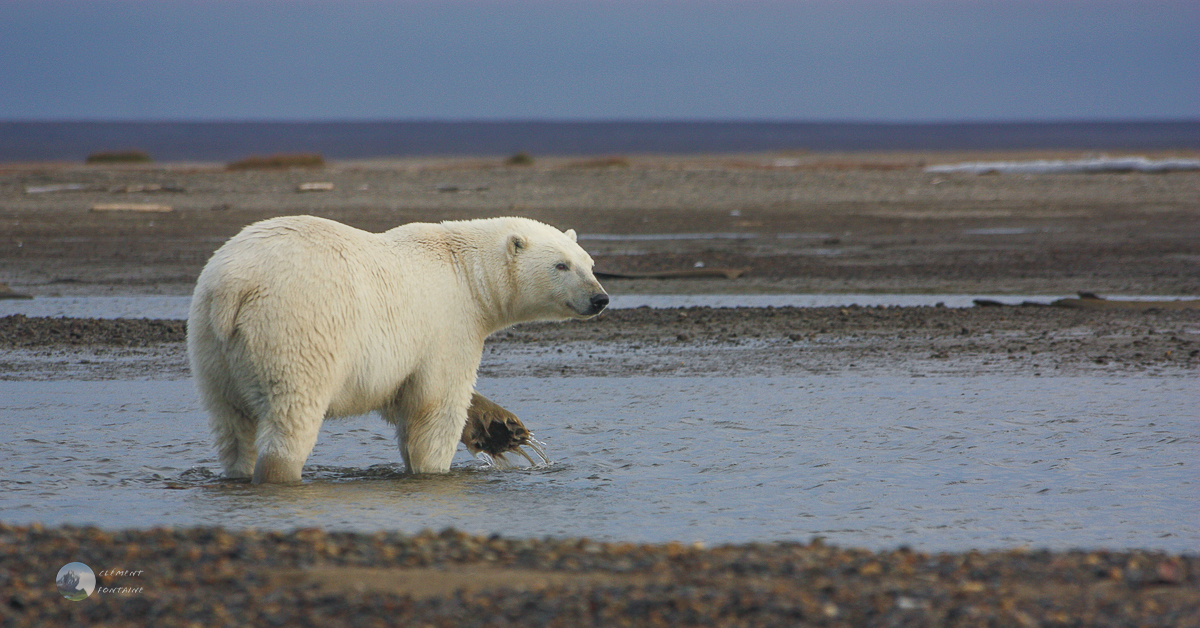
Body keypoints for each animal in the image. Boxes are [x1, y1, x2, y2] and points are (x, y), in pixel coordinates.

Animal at [187, 216, 609, 487]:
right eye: (561, 265)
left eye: (590, 264)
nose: (600, 298)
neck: (467, 273)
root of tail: (234, 287)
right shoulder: (447, 323)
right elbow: (436, 404)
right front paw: (435, 470)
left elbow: (398, 395)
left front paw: (502, 428)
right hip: (294, 329)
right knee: (292, 415)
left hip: (211, 347)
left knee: (231, 424)